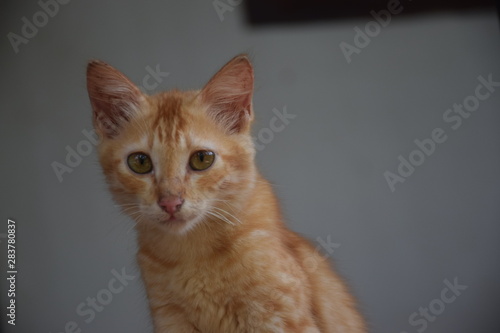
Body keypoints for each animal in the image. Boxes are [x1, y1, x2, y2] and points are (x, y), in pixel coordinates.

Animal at [87, 55, 368, 330]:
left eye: (202, 159)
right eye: (140, 162)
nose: (170, 202)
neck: (191, 254)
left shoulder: (280, 318)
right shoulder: (169, 317)